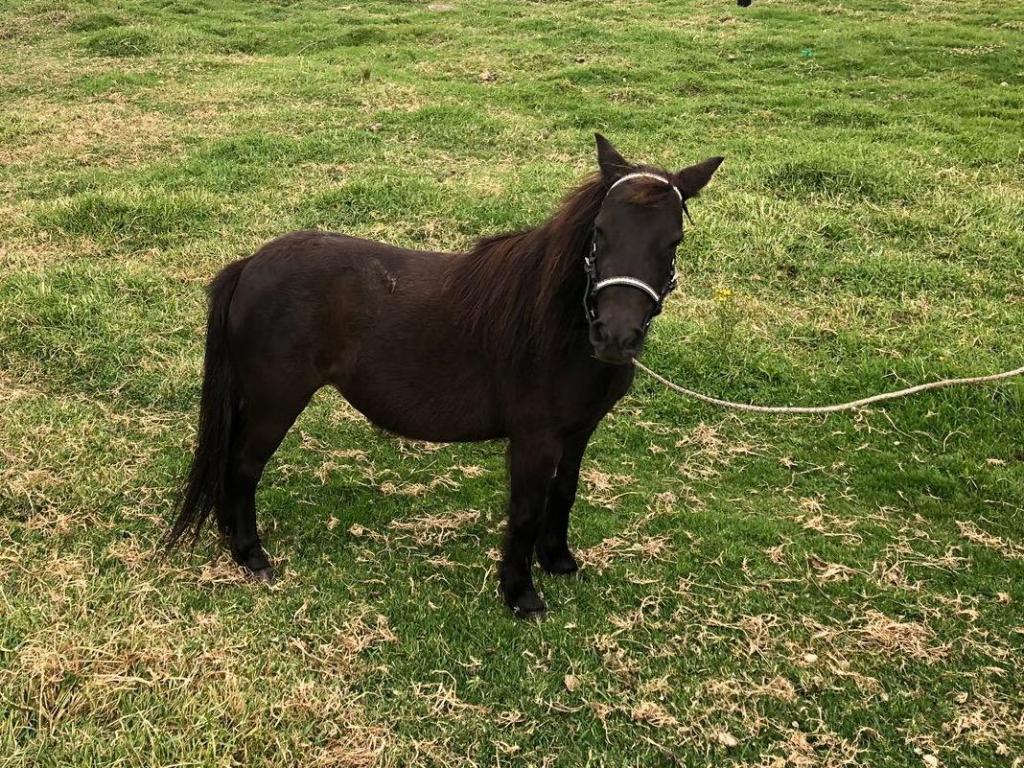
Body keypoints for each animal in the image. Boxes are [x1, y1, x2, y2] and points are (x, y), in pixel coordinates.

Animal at [167, 135, 724, 618]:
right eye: (600, 232)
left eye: (672, 241)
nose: (615, 336)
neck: (559, 328)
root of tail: (251, 264)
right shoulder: (535, 438)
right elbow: (526, 509)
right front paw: (521, 595)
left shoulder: (579, 432)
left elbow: (563, 493)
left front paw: (559, 561)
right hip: (274, 402)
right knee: (243, 468)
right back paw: (251, 556)